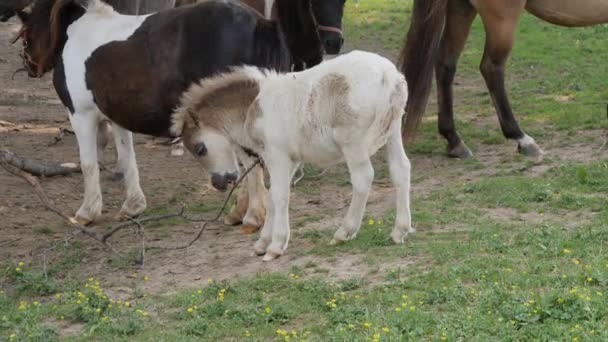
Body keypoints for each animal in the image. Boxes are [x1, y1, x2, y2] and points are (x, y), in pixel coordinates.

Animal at [15, 0, 332, 227]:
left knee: (251, 161)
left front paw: (86, 213)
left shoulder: (80, 115)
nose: (30, 65)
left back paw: (253, 216)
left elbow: (88, 164)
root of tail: (261, 24)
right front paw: (132, 206)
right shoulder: (117, 118)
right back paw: (239, 213)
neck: (77, 34)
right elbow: (127, 158)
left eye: (26, 27)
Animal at [173, 49, 416, 260]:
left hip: (353, 143)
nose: (220, 182)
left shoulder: (276, 155)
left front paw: (275, 246)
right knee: (401, 170)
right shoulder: (290, 160)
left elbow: (280, 196)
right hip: (393, 131)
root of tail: (389, 75)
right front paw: (262, 244)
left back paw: (344, 232)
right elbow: (272, 197)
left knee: (363, 178)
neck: (254, 105)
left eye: (200, 149)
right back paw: (399, 231)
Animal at [400, 0, 608, 160]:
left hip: (461, 9)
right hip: (502, 20)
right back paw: (521, 138)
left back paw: (454, 141)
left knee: (446, 64)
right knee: (491, 68)